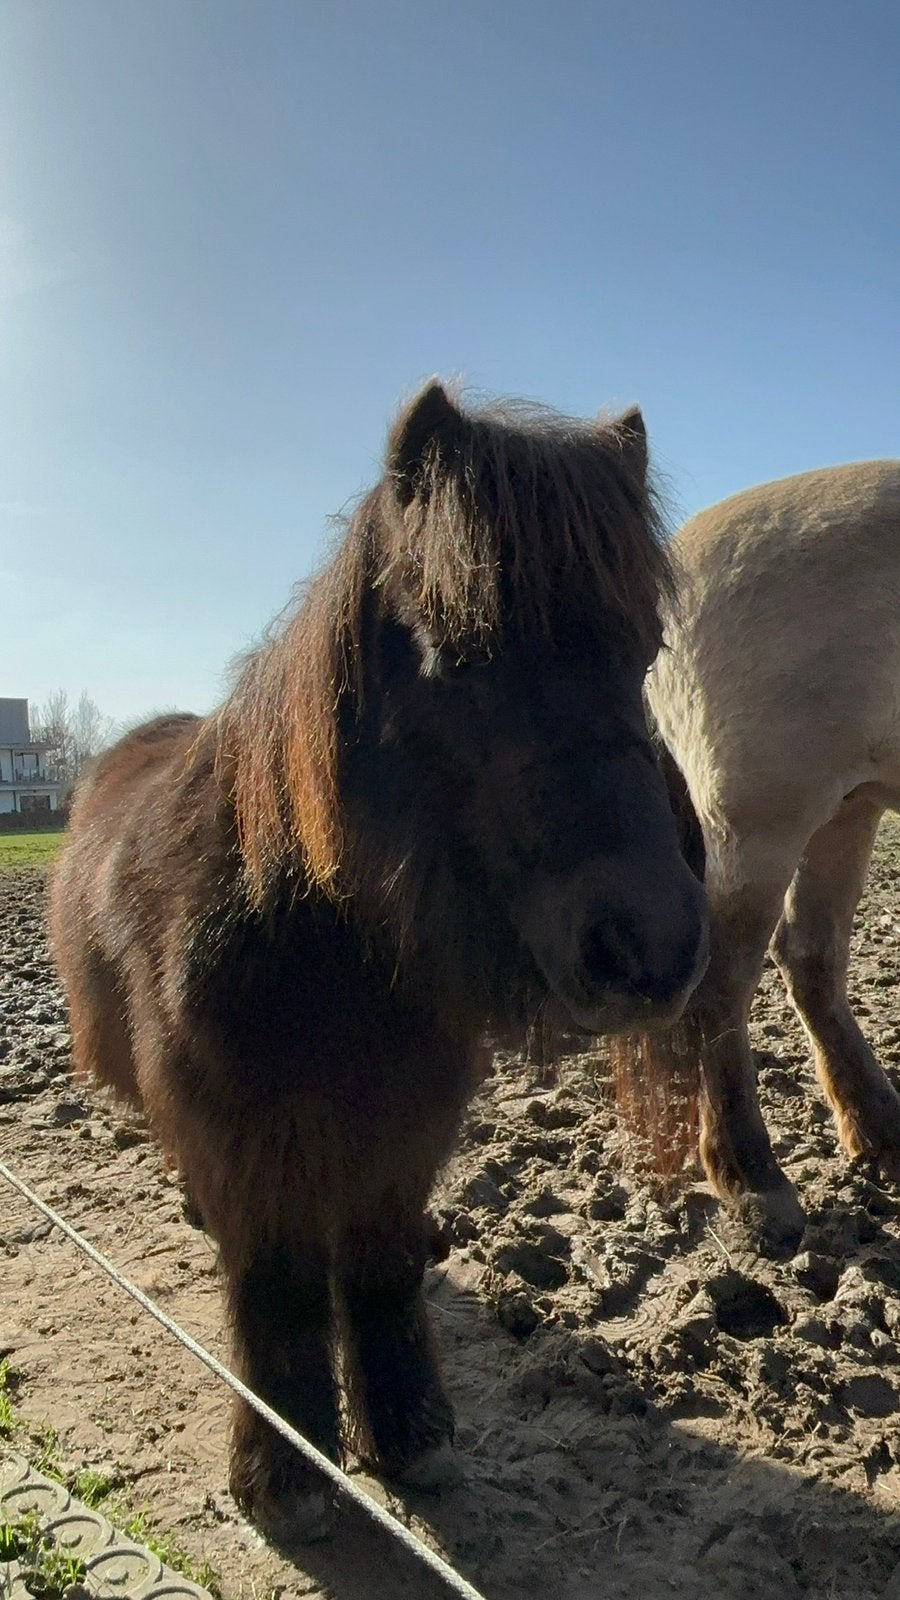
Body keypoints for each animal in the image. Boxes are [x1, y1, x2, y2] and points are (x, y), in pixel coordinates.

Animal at [49, 380, 707, 1543]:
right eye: (459, 652)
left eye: (640, 656)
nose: (654, 945)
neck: (321, 957)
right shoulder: (249, 1140)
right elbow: (274, 1286)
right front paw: (288, 1469)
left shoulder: (401, 1136)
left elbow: (384, 1269)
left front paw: (408, 1435)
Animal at [612, 459, 900, 1254]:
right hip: (760, 819)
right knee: (722, 983)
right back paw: (750, 1179)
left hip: (848, 804)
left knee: (809, 955)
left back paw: (880, 1131)